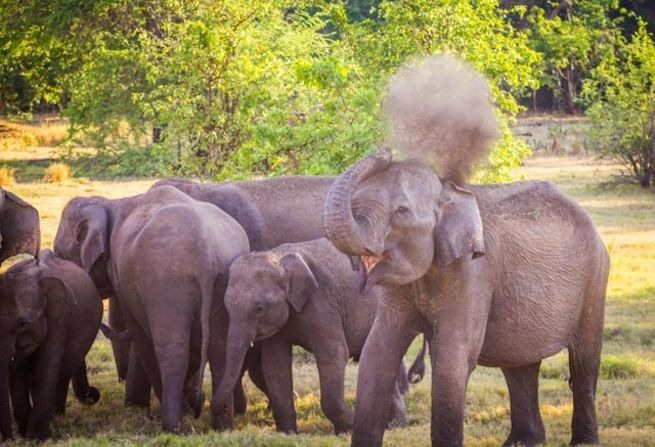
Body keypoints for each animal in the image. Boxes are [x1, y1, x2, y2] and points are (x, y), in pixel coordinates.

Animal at [0, 249, 102, 440]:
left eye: (23, 324)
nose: (10, 439)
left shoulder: (61, 316)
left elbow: (45, 369)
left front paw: (37, 438)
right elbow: (18, 376)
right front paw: (27, 434)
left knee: (63, 372)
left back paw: (56, 416)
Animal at [53, 185, 250, 432]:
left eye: (59, 254)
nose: (94, 394)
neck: (108, 204)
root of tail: (207, 254)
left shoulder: (121, 276)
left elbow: (141, 336)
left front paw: (183, 408)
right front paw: (191, 404)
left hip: (166, 283)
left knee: (172, 351)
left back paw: (174, 426)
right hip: (225, 283)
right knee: (220, 351)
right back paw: (222, 427)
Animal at [211, 238, 409, 434]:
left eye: (259, 308)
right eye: (226, 306)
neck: (278, 257)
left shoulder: (321, 301)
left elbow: (334, 354)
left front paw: (349, 429)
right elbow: (275, 363)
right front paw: (287, 433)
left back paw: (394, 425)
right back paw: (393, 425)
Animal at [323, 150, 609, 446]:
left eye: (401, 211)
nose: (383, 152)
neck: (445, 193)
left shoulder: (473, 273)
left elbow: (453, 357)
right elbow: (378, 351)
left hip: (595, 279)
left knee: (584, 362)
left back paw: (583, 442)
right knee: (519, 366)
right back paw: (521, 442)